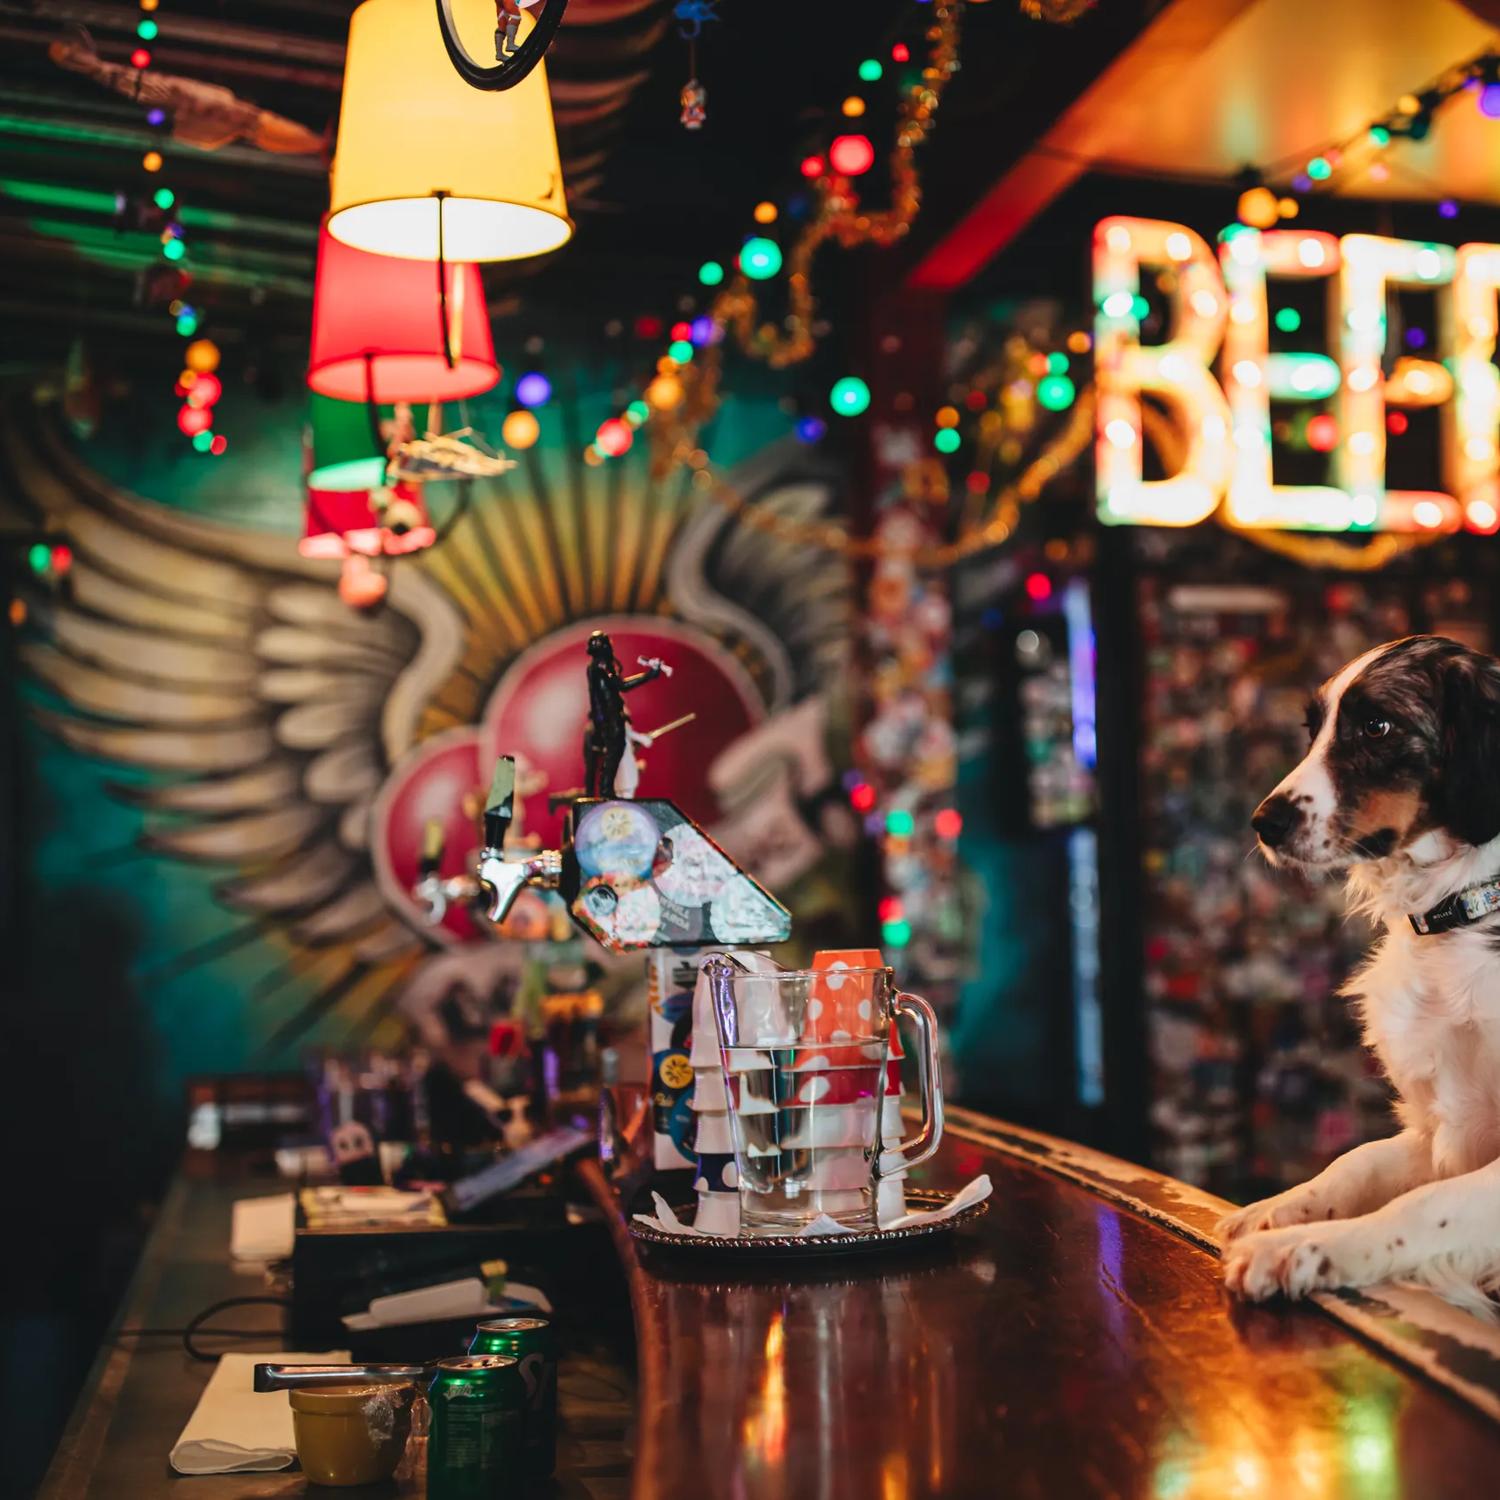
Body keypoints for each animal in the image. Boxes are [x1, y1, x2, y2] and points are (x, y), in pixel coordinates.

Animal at [1224, 633, 1500, 1314]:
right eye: (1312, 729)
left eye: (1378, 726)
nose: (1263, 823)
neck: (1461, 908)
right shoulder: (1441, 1127)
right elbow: (1357, 1162)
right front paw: (1273, 1212)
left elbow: (1423, 1208)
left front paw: (1304, 1250)